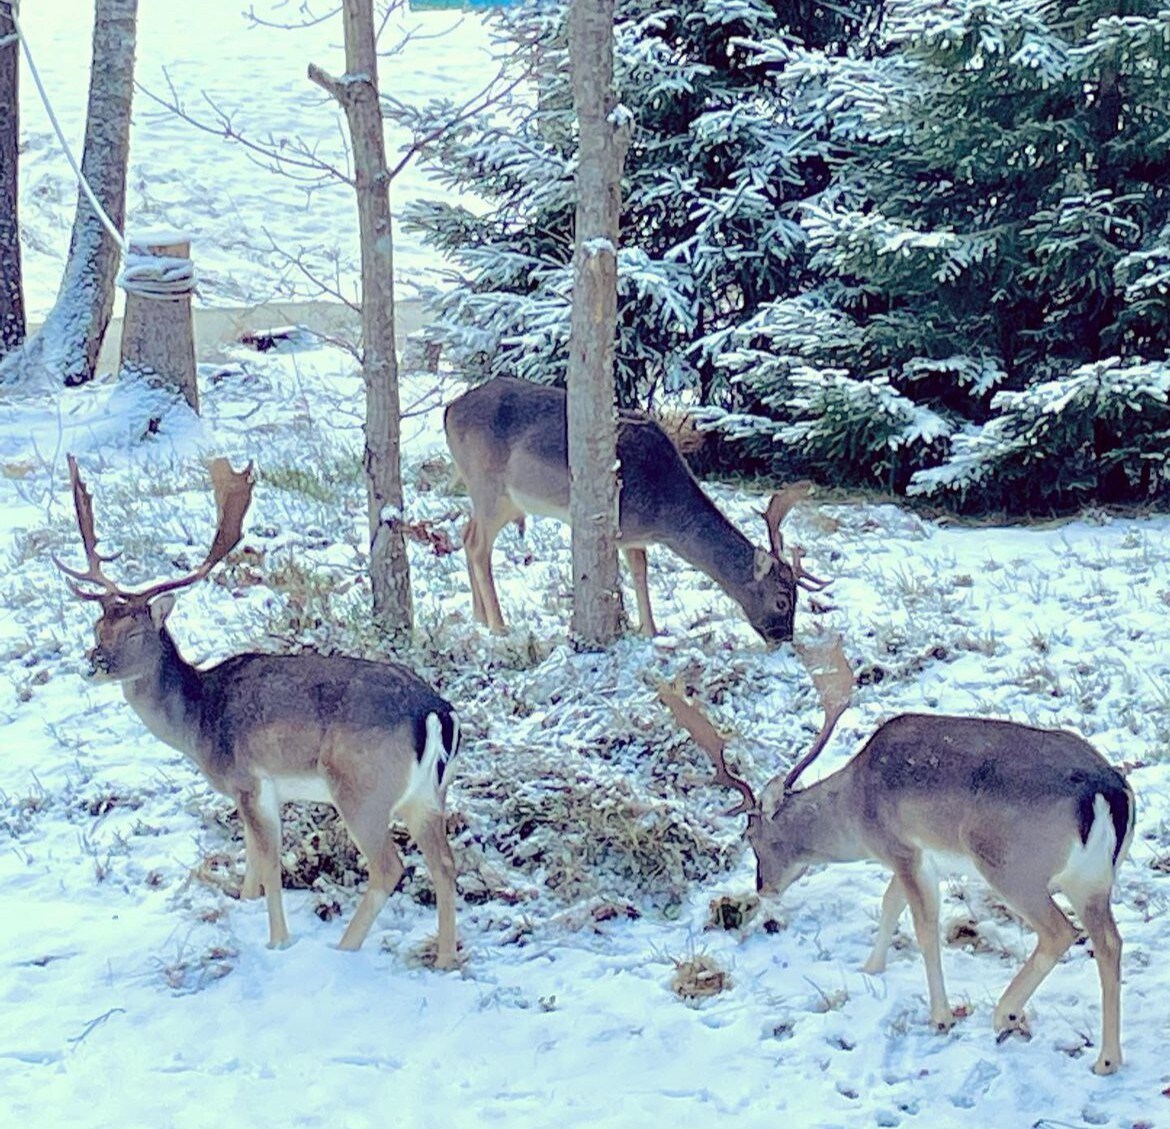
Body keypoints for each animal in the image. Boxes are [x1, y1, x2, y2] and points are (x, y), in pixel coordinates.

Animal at [54, 453, 463, 964]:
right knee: (445, 864)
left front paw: (277, 941)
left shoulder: (251, 781)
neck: (199, 719)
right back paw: (445, 960)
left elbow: (268, 862)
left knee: (391, 866)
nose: (93, 664)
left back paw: (344, 948)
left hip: (362, 787)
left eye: (134, 632)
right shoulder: (246, 791)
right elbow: (251, 861)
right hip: (426, 795)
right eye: (98, 627)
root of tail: (437, 713)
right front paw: (246, 908)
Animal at [442, 379, 828, 641]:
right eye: (782, 600)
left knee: (466, 533)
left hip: (499, 498)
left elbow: (641, 572)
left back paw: (478, 617)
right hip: (489, 485)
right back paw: (499, 625)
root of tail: (449, 410)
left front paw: (651, 629)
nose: (783, 638)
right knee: (478, 545)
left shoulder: (635, 535)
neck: (663, 513)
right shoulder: (619, 523)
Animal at [664, 641, 1137, 1076]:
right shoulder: (921, 858)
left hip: (1011, 866)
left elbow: (924, 927)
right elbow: (890, 902)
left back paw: (1007, 1014)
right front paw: (870, 967)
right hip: (1092, 880)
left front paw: (941, 1017)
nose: (764, 887)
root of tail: (1108, 789)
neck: (857, 811)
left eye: (750, 836)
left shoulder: (902, 849)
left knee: (1060, 932)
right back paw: (1107, 1059)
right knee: (1110, 942)